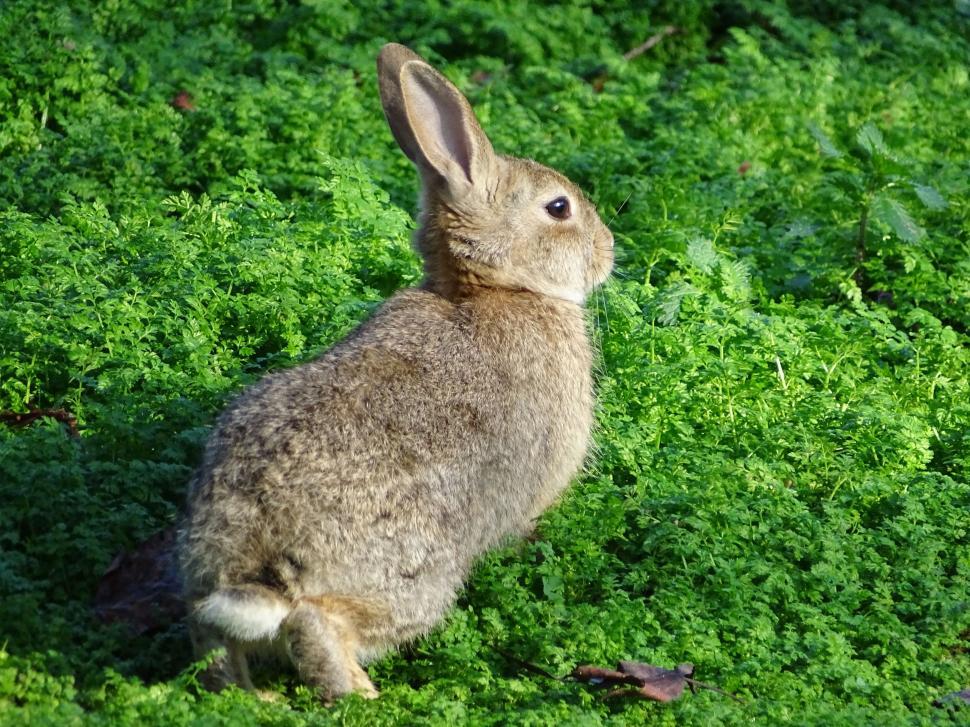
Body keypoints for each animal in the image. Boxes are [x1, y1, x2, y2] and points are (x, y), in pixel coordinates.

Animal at [177, 42, 614, 703]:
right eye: (558, 208)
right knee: (317, 626)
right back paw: (363, 698)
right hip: (412, 580)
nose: (609, 249)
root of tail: (254, 548)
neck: (495, 288)